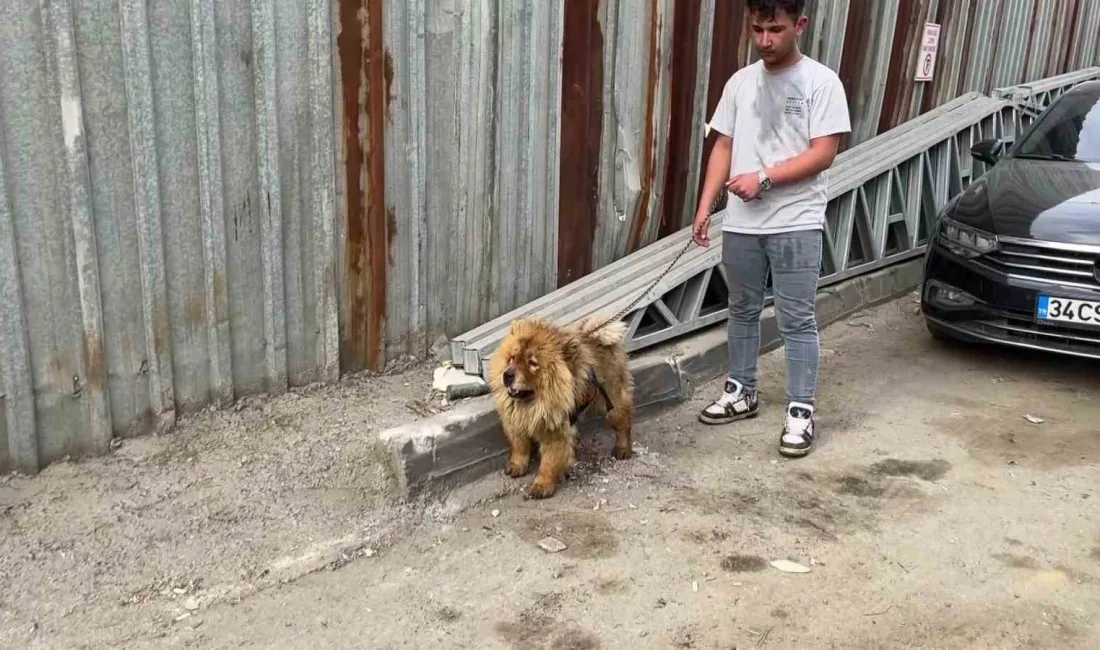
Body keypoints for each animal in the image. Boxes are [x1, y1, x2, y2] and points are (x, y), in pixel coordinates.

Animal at [490, 314, 638, 499]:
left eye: (533, 363)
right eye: (512, 358)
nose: (507, 374)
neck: (533, 404)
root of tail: (600, 337)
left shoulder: (554, 432)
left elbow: (549, 462)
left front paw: (542, 485)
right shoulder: (515, 423)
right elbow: (519, 446)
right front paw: (517, 465)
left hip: (611, 403)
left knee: (623, 425)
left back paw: (622, 449)